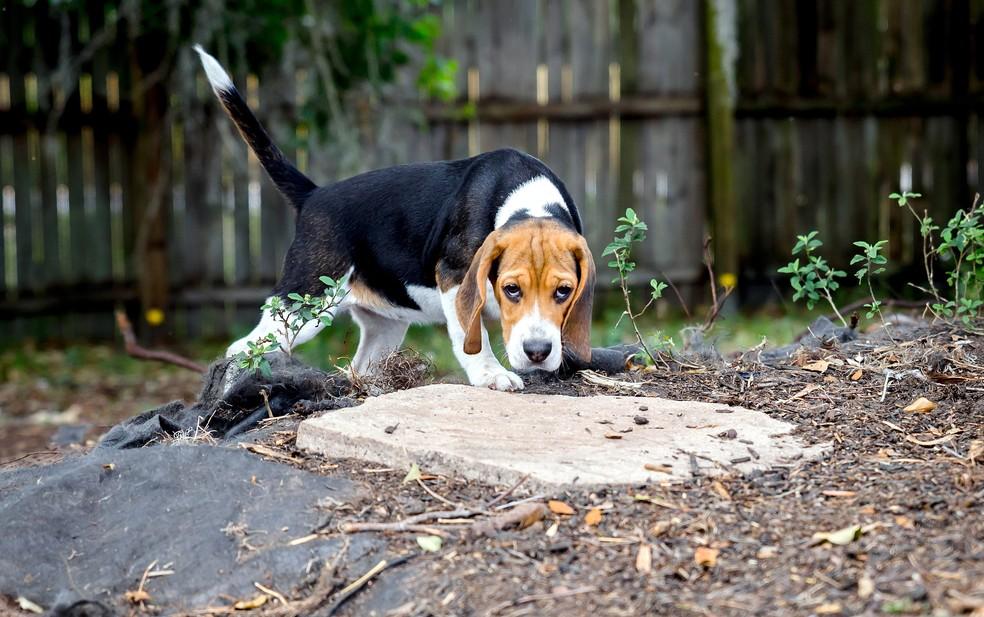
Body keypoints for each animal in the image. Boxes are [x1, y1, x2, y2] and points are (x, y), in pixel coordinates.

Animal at [192, 45, 592, 390]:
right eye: (511, 289)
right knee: (242, 348)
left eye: (563, 291)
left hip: (383, 327)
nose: (538, 353)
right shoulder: (453, 277)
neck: (527, 200)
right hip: (303, 305)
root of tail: (314, 195)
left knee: (360, 367)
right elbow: (471, 333)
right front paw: (491, 374)